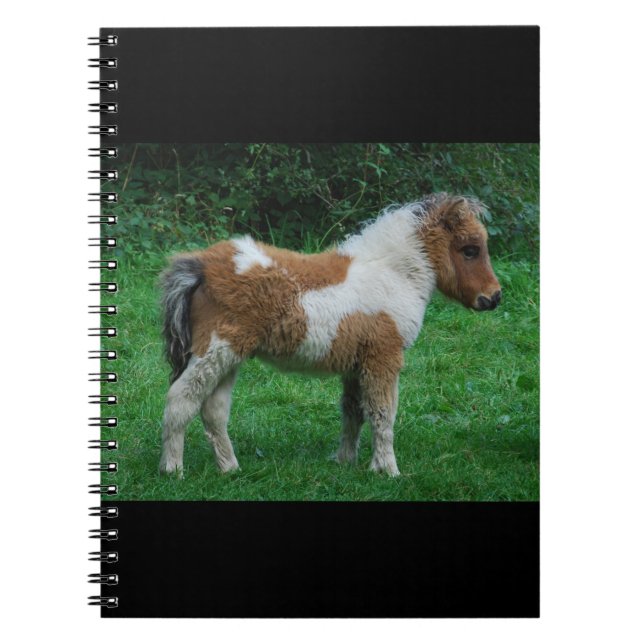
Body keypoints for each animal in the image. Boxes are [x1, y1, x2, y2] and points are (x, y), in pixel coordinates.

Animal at [159, 193, 502, 477]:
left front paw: (345, 462)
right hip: (216, 349)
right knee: (181, 399)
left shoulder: (356, 364)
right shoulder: (383, 357)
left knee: (213, 410)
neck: (393, 274)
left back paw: (230, 469)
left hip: (230, 357)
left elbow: (354, 412)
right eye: (470, 250)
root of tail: (201, 267)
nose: (493, 297)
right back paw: (173, 470)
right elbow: (383, 414)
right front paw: (388, 471)